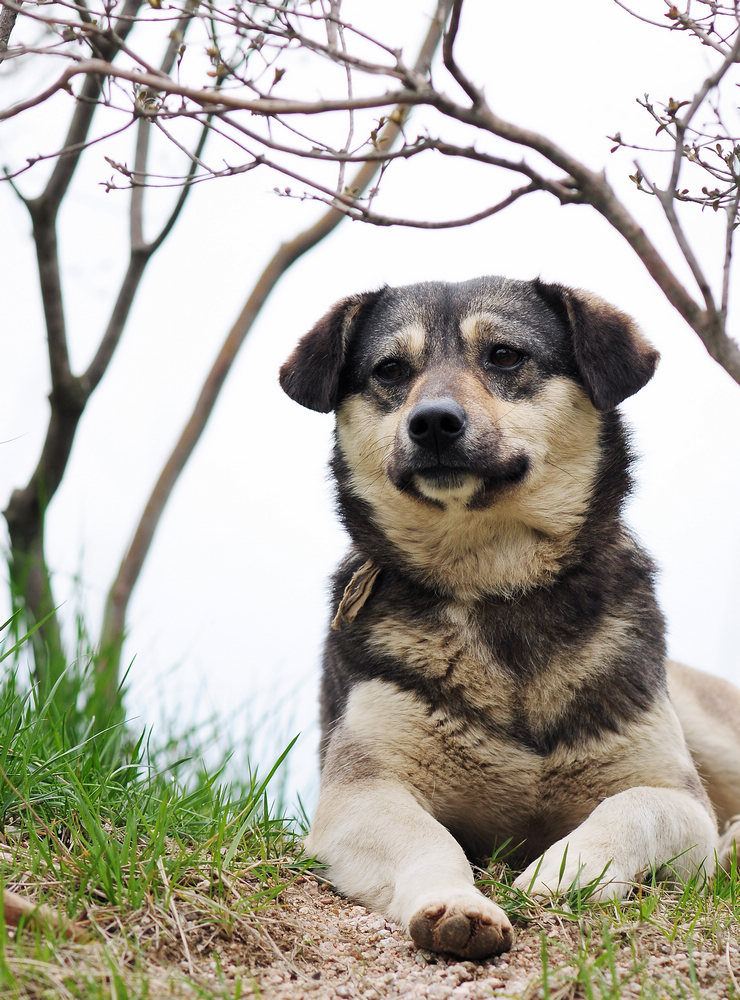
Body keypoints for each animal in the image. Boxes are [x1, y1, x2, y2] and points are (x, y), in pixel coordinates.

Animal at [278, 278, 740, 964]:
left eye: (504, 356)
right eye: (391, 370)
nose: (433, 422)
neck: (496, 583)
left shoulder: (676, 796)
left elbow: (632, 809)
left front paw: (561, 873)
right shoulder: (362, 790)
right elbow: (428, 839)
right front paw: (457, 905)